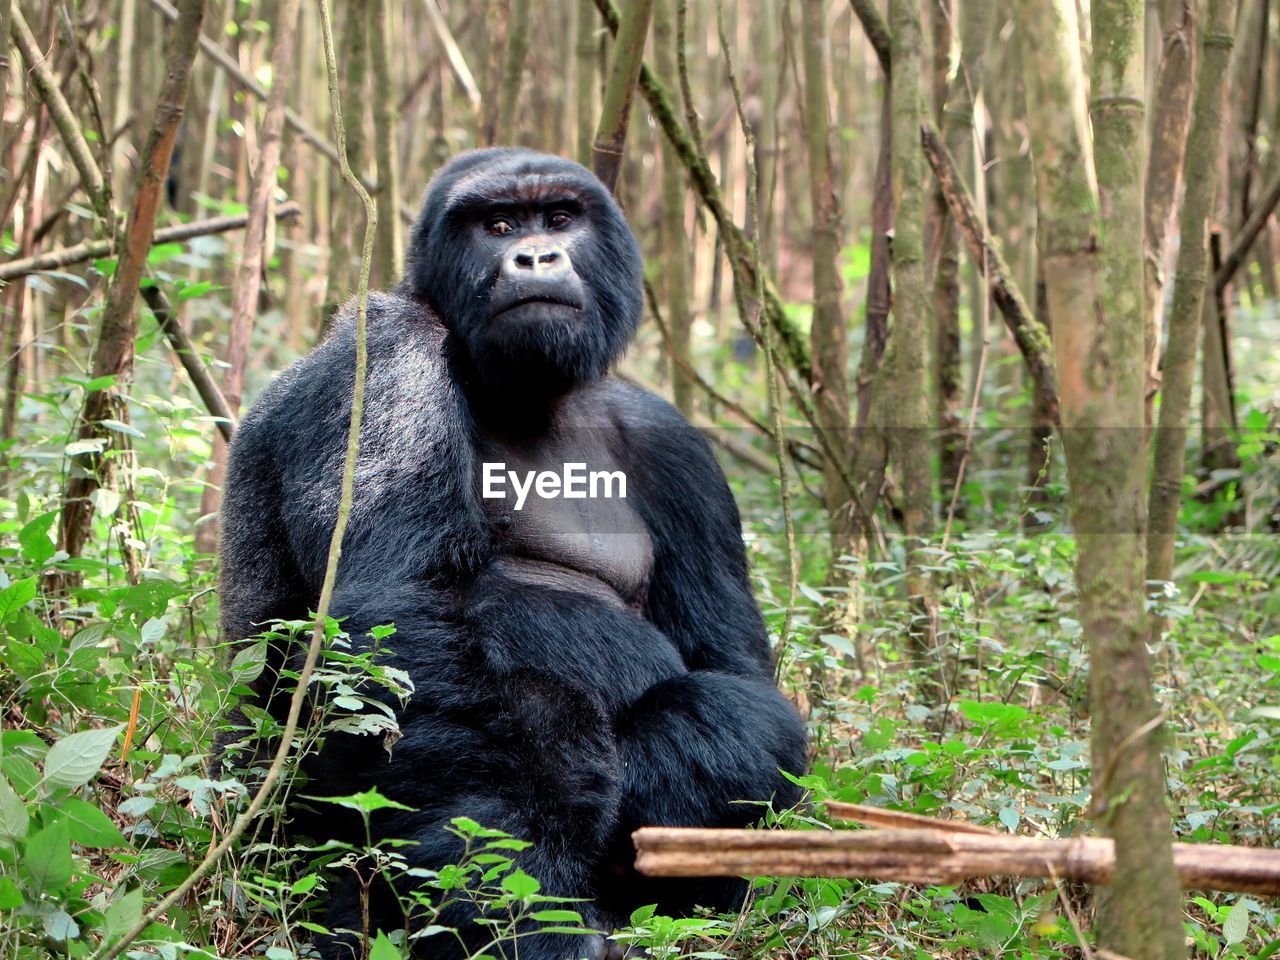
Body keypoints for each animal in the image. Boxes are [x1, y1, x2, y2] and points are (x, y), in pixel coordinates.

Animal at [216, 148, 803, 960]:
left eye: (559, 219)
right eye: (498, 226)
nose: (535, 256)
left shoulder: (677, 449)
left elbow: (736, 681)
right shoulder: (386, 353)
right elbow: (402, 614)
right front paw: (526, 912)